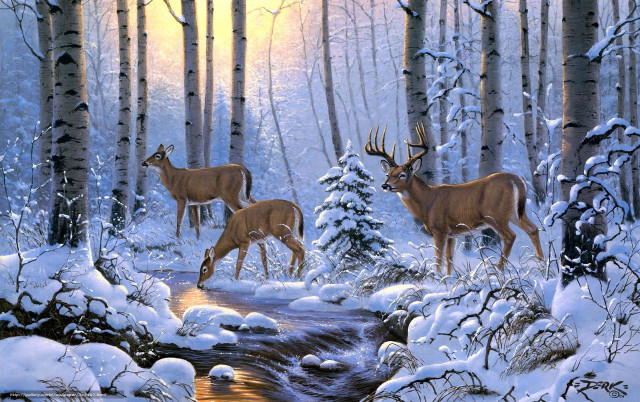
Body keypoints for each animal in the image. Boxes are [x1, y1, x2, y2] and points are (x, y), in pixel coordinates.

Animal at [364, 126, 544, 275]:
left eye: (402, 175)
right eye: (388, 174)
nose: (385, 185)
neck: (427, 202)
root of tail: (516, 180)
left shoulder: (440, 229)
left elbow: (438, 258)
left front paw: (437, 278)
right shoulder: (453, 233)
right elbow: (449, 259)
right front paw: (449, 279)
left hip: (496, 215)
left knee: (510, 236)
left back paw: (498, 269)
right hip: (515, 213)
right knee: (533, 229)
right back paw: (541, 264)